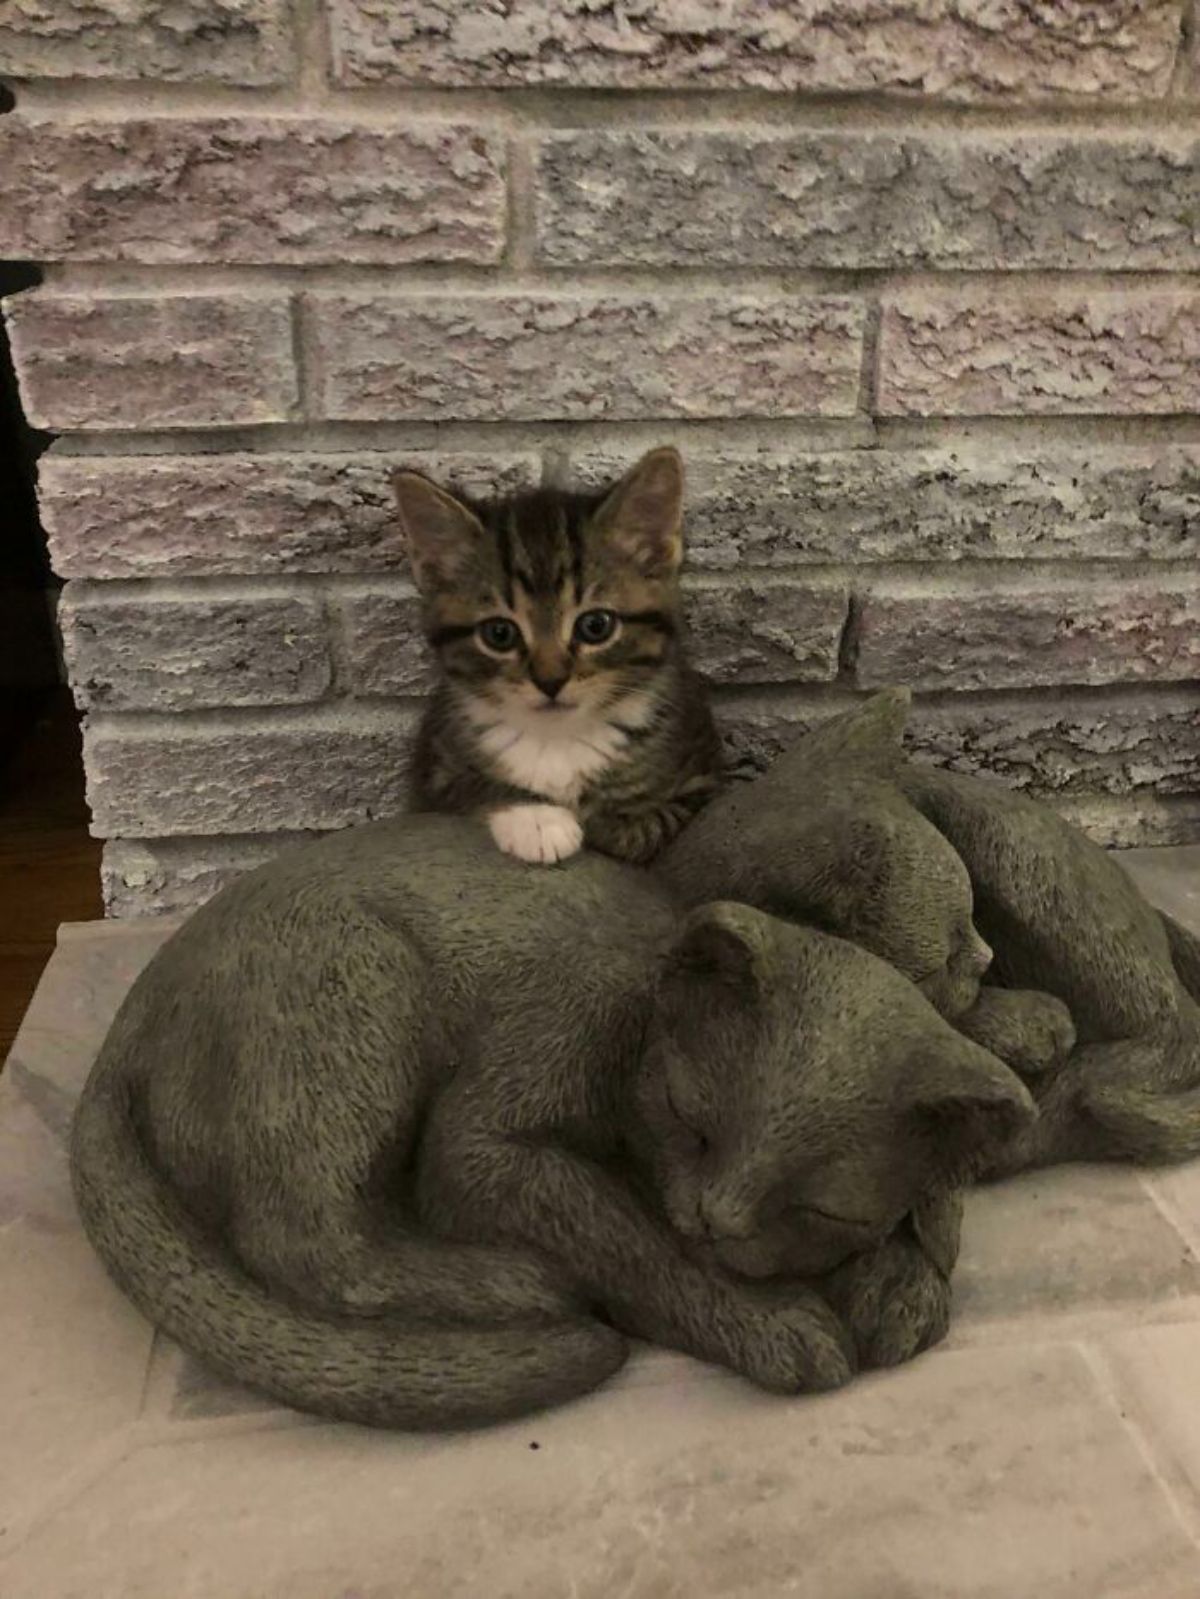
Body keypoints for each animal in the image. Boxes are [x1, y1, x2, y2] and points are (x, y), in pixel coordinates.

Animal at [395, 444, 720, 869]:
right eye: (499, 634)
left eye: (596, 626)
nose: (550, 681)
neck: (558, 738)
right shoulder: (432, 771)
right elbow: (469, 786)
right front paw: (537, 820)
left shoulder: (702, 773)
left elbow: (653, 823)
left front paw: (604, 823)